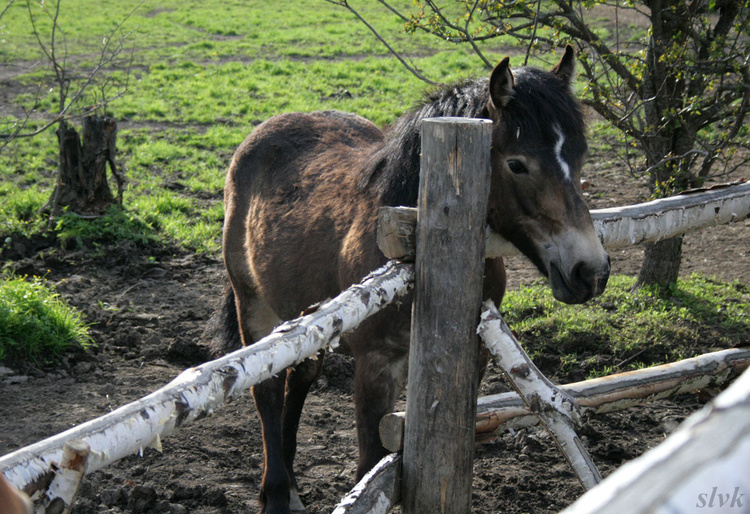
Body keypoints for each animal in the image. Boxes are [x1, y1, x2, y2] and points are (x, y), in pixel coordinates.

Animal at [210, 46, 612, 510]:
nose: (590, 271)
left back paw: (290, 486)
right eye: (517, 164)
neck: (412, 239)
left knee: (299, 379)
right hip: (254, 305)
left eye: (581, 156)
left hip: (306, 316)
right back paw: (277, 493)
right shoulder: (376, 368)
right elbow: (371, 467)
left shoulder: (473, 360)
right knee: (268, 391)